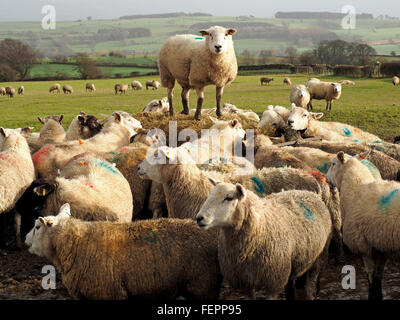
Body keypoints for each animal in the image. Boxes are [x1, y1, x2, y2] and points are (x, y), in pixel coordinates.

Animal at [196, 182, 332, 300]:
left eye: (229, 198)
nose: (199, 218)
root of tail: (310, 192)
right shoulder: (246, 281)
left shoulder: (273, 282)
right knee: (290, 284)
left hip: (319, 257)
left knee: (310, 286)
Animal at [326, 151, 400, 300]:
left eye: (333, 164)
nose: (325, 178)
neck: (356, 188)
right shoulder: (381, 247)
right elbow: (378, 275)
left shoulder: (363, 246)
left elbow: (370, 276)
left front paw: (372, 294)